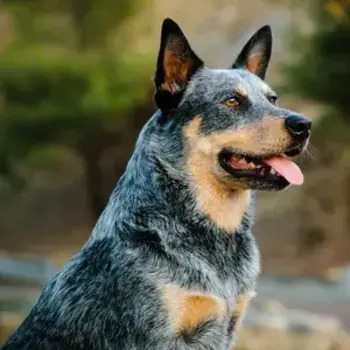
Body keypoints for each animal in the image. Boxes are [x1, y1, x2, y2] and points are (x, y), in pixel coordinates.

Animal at [2, 19, 308, 350]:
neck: (214, 234)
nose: (304, 125)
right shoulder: (157, 335)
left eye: (272, 99)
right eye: (232, 101)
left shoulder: (229, 325)